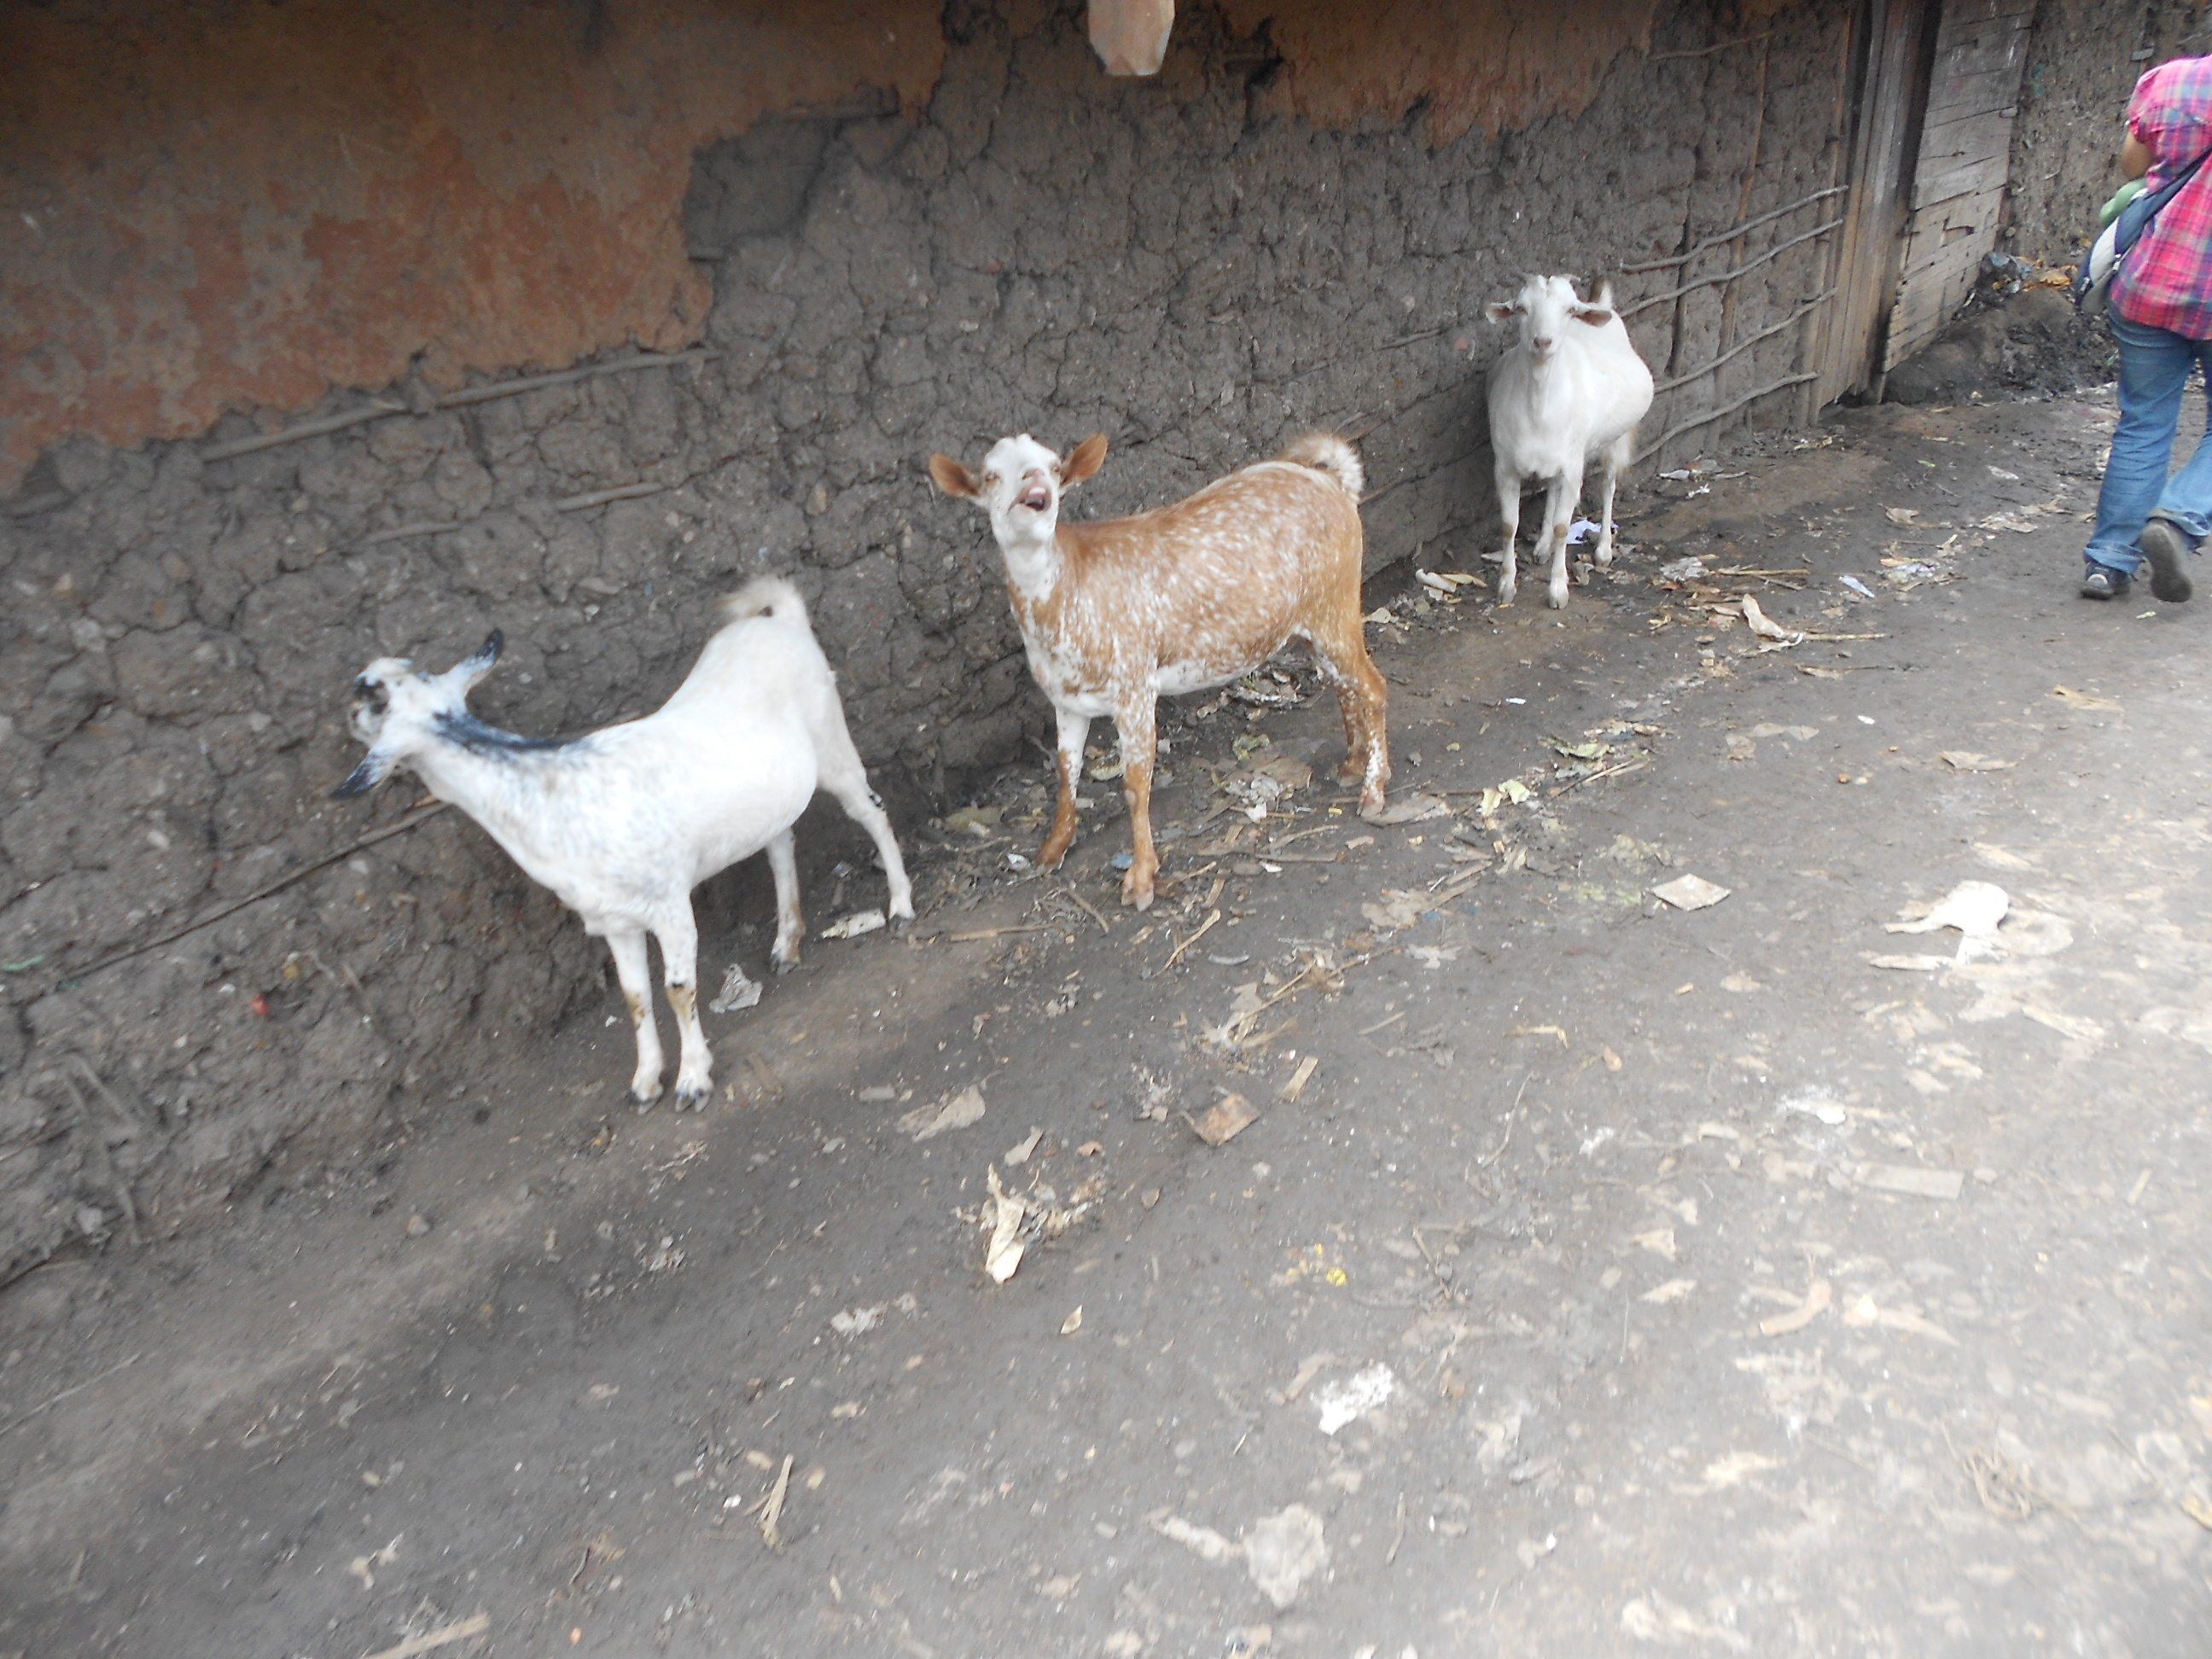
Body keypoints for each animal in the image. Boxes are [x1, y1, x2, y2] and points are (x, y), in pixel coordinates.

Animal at [329, 579, 916, 1110]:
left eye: (375, 703)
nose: (350, 699)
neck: (550, 797)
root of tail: (783, 622)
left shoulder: (670, 904)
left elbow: (678, 989)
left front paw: (693, 1080)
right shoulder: (613, 919)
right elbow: (635, 997)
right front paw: (646, 1081)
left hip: (831, 739)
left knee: (872, 811)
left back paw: (901, 904)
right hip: (768, 795)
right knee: (780, 844)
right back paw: (787, 944)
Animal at [928, 431, 1380, 911]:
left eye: (1054, 468)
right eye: (991, 475)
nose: (1036, 490)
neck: (1067, 591)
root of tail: (1334, 483)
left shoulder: (1134, 686)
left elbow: (1134, 785)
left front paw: (1141, 877)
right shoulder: (1067, 700)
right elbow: (1067, 773)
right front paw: (1053, 848)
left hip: (1336, 603)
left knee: (1373, 687)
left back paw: (1374, 791)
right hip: (1315, 622)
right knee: (1343, 684)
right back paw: (1352, 764)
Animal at [1486, 273, 1663, 610]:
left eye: (1569, 310)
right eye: (1521, 308)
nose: (1543, 342)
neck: (1539, 406)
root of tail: (1600, 306)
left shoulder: (1572, 468)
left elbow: (1562, 527)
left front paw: (1558, 590)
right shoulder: (1505, 468)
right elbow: (1509, 525)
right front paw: (1506, 586)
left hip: (1613, 441)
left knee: (1608, 486)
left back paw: (1604, 549)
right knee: (1552, 491)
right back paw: (1542, 547)